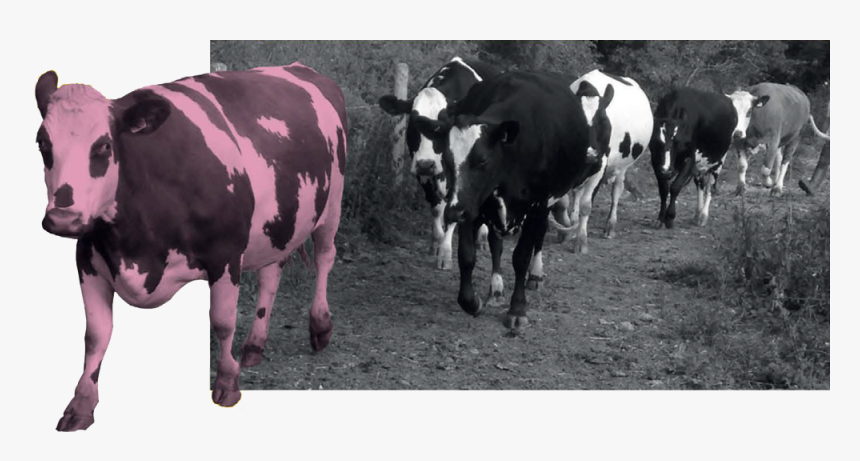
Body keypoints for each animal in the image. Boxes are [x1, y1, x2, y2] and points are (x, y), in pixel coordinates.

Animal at [34, 63, 347, 431]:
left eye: (104, 146)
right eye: (42, 144)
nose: (63, 218)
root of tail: (302, 69)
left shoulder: (226, 253)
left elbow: (222, 320)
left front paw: (227, 383)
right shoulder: (88, 258)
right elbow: (96, 335)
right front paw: (81, 404)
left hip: (332, 203)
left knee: (325, 257)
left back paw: (320, 325)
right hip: (279, 223)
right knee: (271, 274)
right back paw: (254, 345)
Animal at [379, 57, 496, 270]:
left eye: (444, 126)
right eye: (413, 122)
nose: (427, 164)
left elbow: (452, 212)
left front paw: (445, 252)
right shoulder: (421, 171)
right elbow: (435, 207)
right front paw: (436, 242)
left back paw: (482, 236)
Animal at [412, 70, 596, 329]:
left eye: (482, 160)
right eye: (447, 160)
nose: (453, 213)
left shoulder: (537, 205)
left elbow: (521, 257)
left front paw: (517, 309)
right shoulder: (472, 205)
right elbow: (467, 256)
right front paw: (471, 302)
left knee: (538, 238)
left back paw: (535, 274)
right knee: (495, 243)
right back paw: (496, 287)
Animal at [547, 70, 653, 253]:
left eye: (603, 121)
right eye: (574, 121)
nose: (591, 154)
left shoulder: (600, 166)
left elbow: (586, 206)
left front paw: (581, 241)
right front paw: (569, 230)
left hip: (622, 166)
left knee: (616, 191)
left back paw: (610, 227)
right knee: (577, 193)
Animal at [650, 88, 750, 229]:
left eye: (677, 142)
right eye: (657, 142)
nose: (666, 169)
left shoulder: (689, 159)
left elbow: (675, 187)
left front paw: (670, 217)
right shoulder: (656, 161)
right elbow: (663, 189)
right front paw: (660, 218)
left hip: (718, 159)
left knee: (709, 187)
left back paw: (703, 215)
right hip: (699, 165)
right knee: (700, 184)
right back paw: (697, 215)